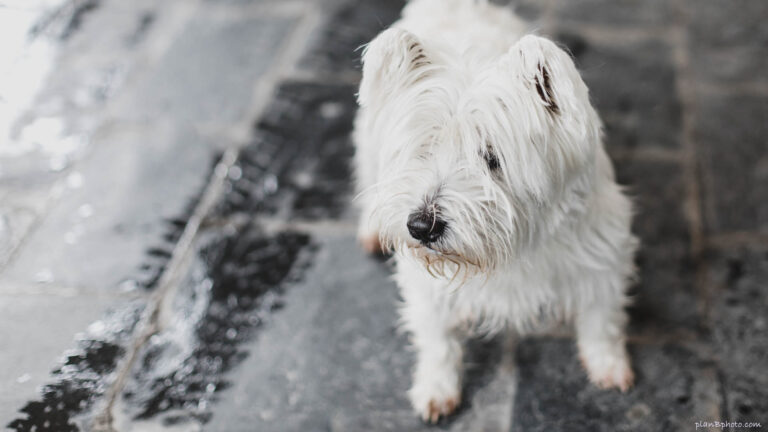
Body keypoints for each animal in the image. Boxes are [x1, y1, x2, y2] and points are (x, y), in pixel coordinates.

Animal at [352, 0, 636, 424]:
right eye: (423, 150)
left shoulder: (600, 256)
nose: (420, 226)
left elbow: (601, 319)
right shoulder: (425, 284)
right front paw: (436, 388)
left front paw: (609, 365)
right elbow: (437, 338)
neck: (511, 248)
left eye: (491, 158)